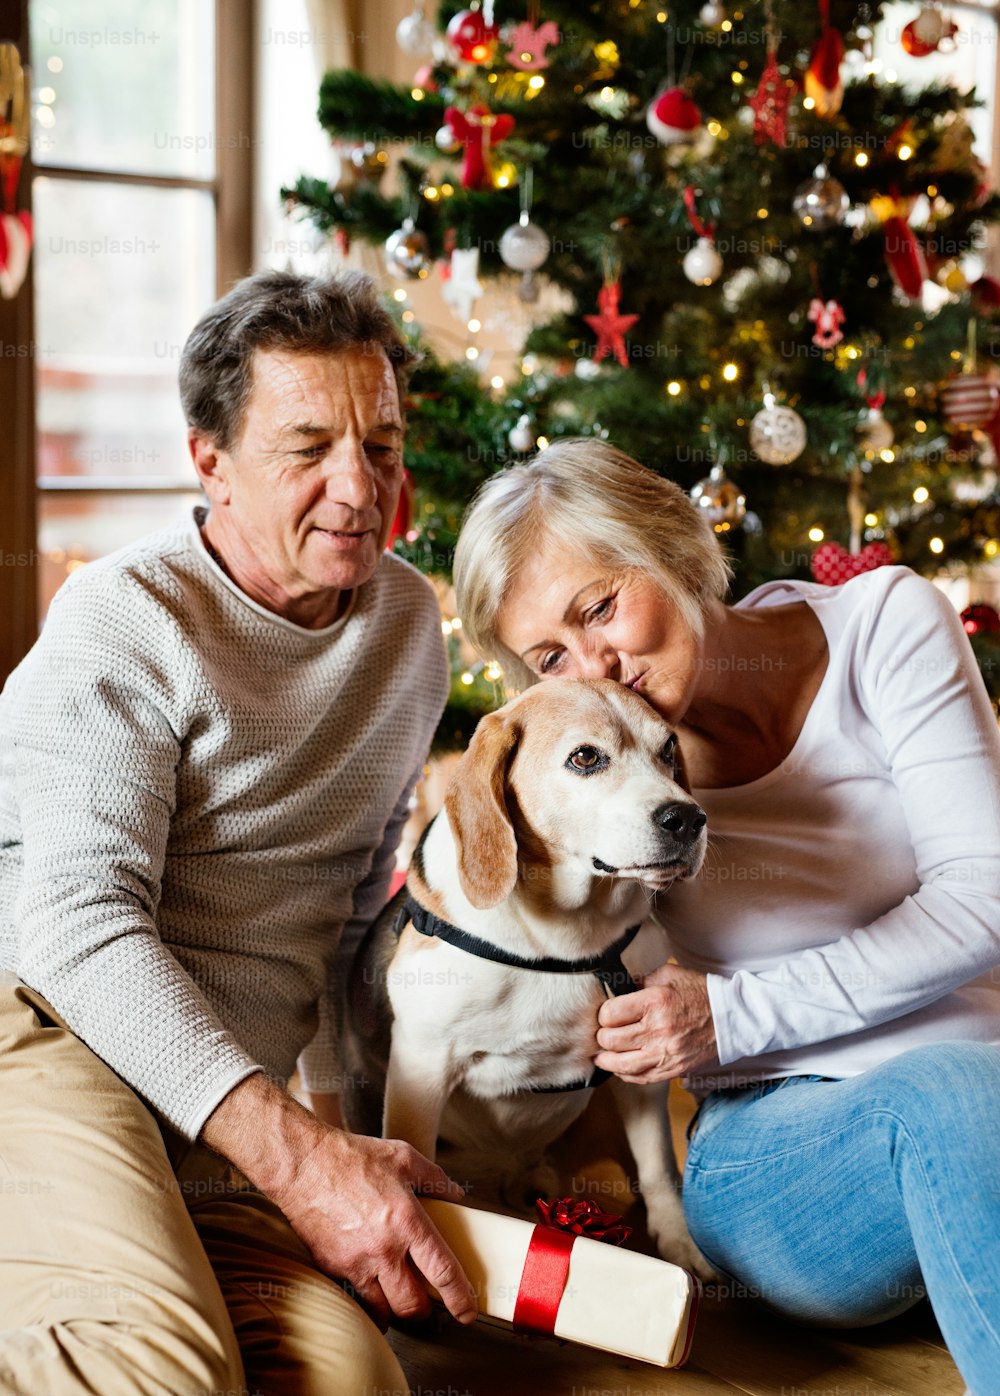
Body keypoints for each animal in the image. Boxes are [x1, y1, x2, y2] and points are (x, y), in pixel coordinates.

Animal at [342, 675, 712, 1278]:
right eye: (585, 757)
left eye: (668, 751)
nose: (687, 819)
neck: (564, 941)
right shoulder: (421, 1067)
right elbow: (416, 1156)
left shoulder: (640, 1062)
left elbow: (659, 1165)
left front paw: (680, 1246)